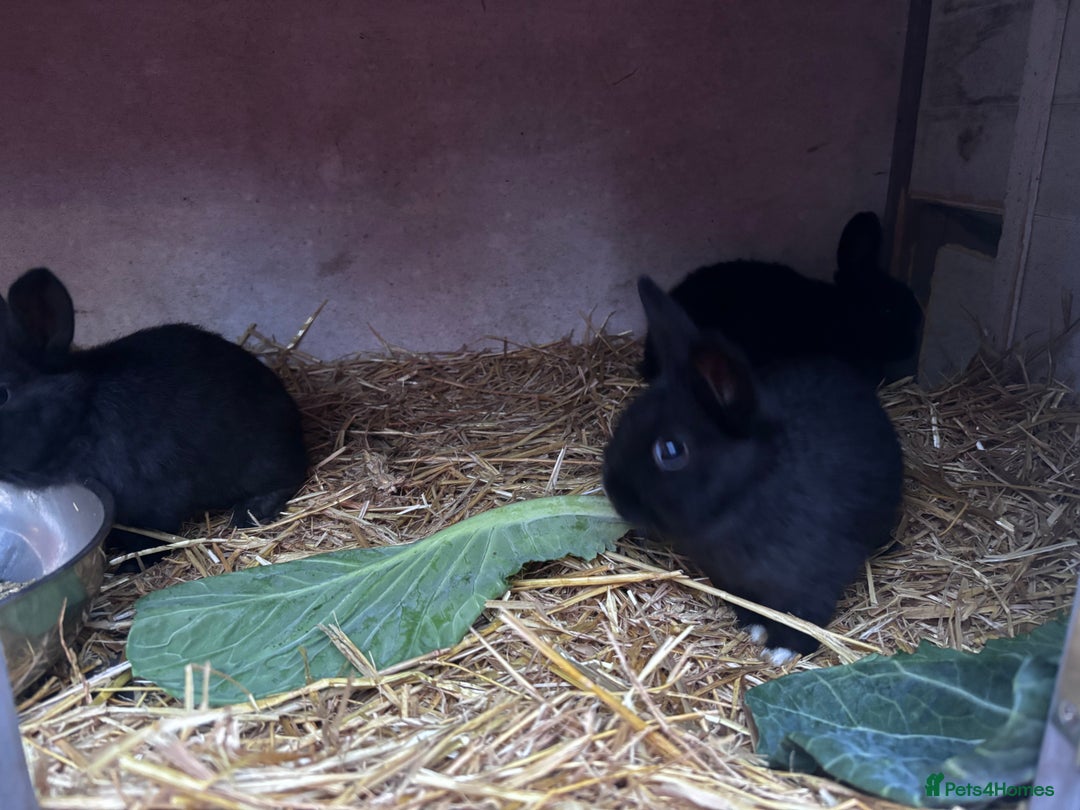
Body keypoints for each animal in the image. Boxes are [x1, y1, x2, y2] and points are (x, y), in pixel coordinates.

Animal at [0, 267, 309, 566]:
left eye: (3, 394)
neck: (79, 418)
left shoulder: (150, 506)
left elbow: (150, 540)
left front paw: (131, 565)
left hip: (264, 459)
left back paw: (248, 513)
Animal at [605, 276, 903, 662]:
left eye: (670, 450)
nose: (612, 492)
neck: (746, 491)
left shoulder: (812, 581)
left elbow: (805, 617)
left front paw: (780, 649)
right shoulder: (736, 583)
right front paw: (753, 626)